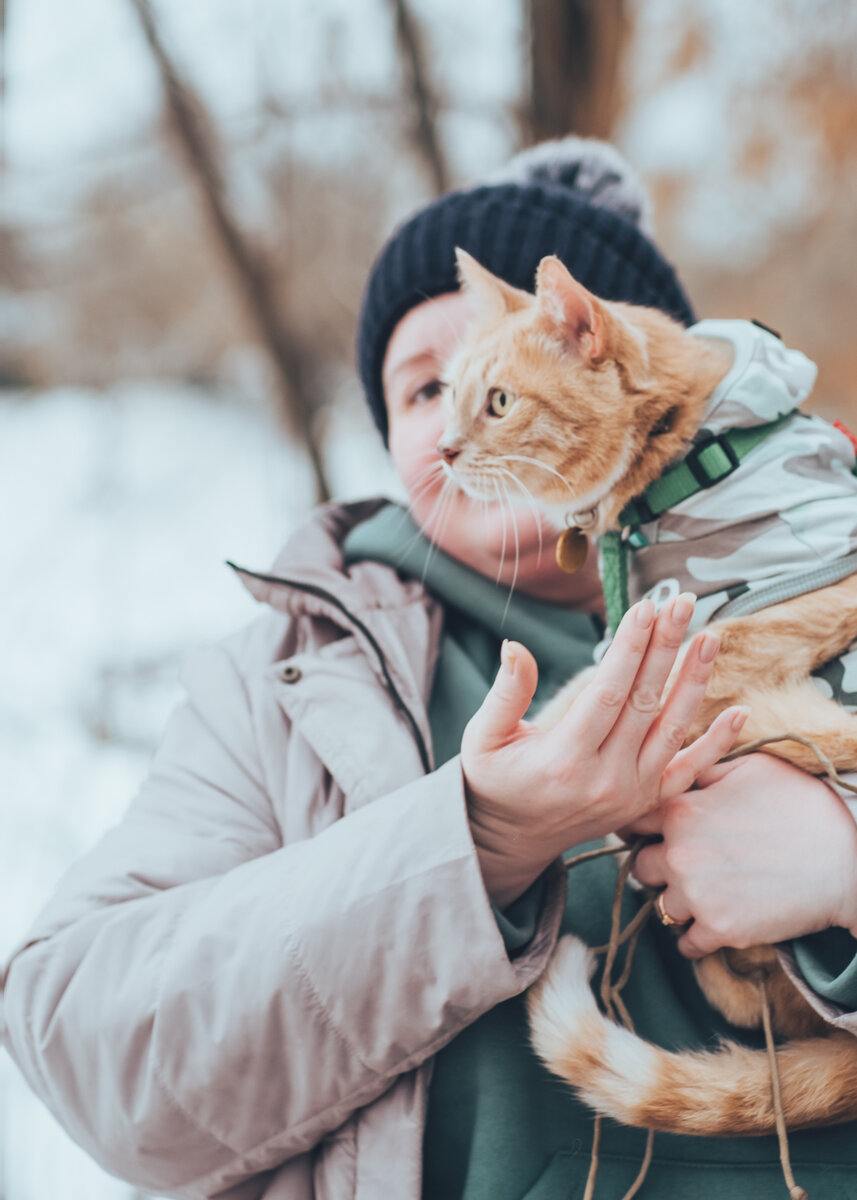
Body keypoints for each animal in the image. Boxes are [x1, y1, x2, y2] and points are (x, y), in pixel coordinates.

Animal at [441, 250, 857, 1132]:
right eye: (448, 395)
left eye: (498, 403)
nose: (444, 451)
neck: (691, 454)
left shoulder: (769, 610)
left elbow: (583, 693)